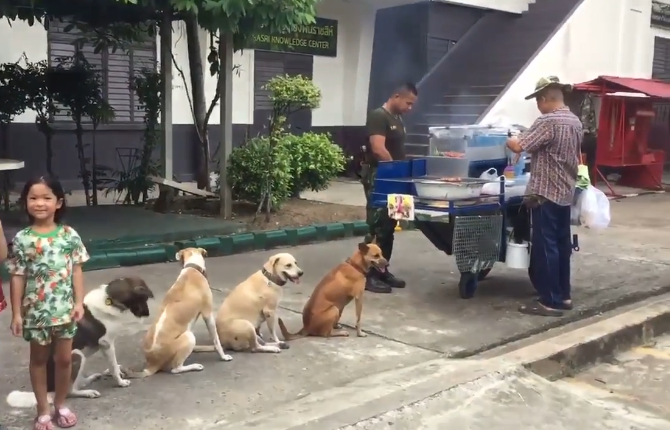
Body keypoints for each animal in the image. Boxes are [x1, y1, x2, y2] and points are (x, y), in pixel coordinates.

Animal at [6, 278, 154, 408]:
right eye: (144, 299)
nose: (147, 313)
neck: (110, 300)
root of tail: (49, 390)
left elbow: (114, 366)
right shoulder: (106, 343)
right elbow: (113, 366)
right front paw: (121, 382)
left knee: (77, 383)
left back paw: (92, 378)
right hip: (76, 355)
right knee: (69, 390)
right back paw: (88, 392)